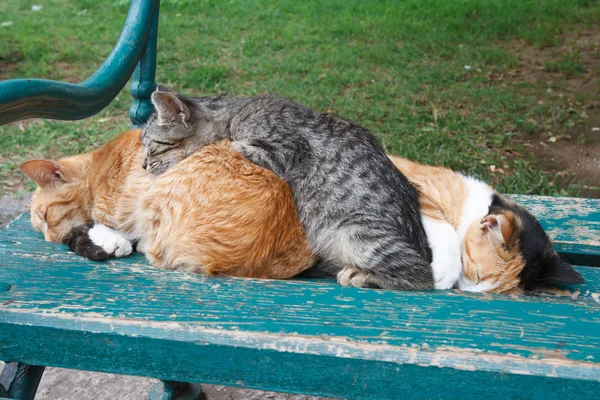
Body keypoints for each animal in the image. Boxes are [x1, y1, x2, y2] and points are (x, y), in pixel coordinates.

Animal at [21, 130, 316, 280]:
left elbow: (104, 225)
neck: (98, 166)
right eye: (40, 228)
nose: (51, 241)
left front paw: (110, 240)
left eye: (46, 216)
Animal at [143, 88, 436, 290]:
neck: (234, 113)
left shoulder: (289, 150)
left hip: (357, 230)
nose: (144, 164)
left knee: (423, 276)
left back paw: (361, 275)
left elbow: (232, 143)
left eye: (152, 146)